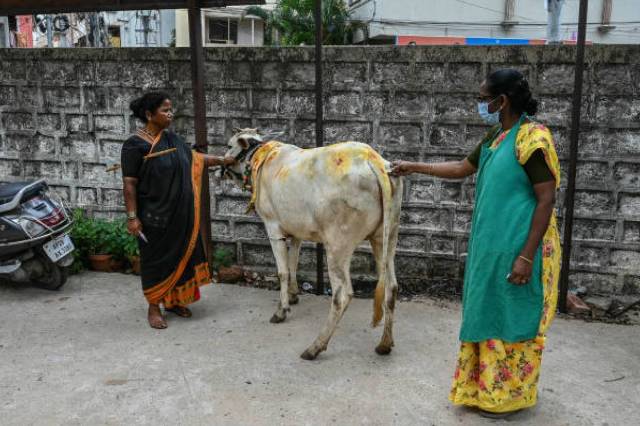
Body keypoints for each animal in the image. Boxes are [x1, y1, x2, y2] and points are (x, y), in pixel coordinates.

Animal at [222, 129, 402, 360]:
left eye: (229, 146)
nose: (220, 168)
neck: (260, 156)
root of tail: (373, 159)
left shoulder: (273, 227)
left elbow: (282, 272)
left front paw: (281, 310)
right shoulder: (296, 232)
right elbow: (293, 264)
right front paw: (293, 295)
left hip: (337, 246)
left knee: (342, 295)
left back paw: (315, 346)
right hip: (385, 238)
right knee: (391, 286)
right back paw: (385, 344)